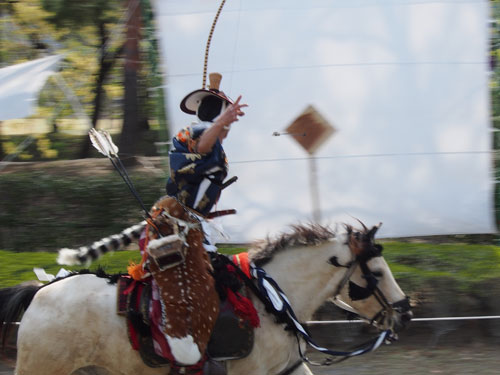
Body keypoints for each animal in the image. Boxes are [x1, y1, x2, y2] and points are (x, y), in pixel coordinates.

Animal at [0, 223, 412, 375]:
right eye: (376, 273)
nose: (405, 313)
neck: (271, 300)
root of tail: (40, 292)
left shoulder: (287, 370)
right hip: (42, 368)